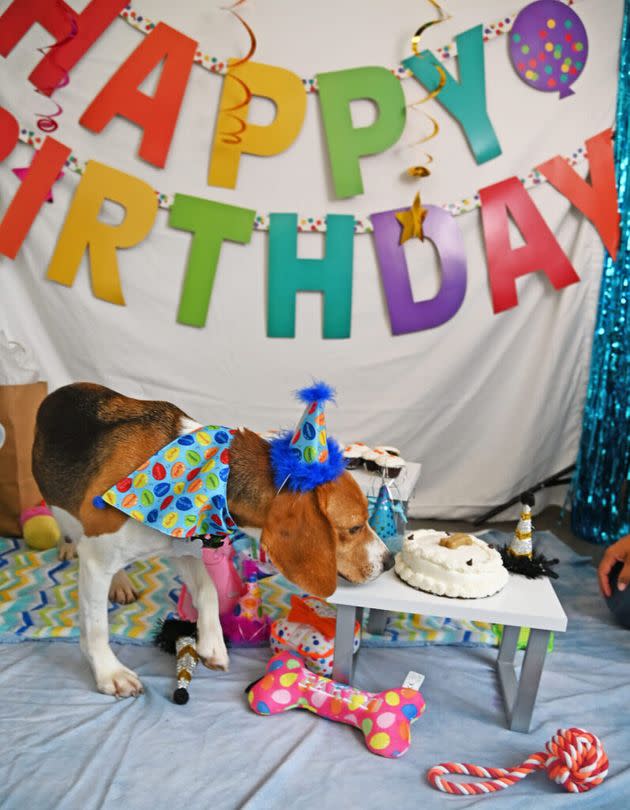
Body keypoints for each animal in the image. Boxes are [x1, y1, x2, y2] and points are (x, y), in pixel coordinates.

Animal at [33, 384, 396, 696]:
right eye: (354, 528)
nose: (389, 561)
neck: (209, 475)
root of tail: (62, 390)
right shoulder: (96, 561)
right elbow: (96, 627)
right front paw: (110, 673)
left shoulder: (182, 547)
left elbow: (207, 591)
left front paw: (212, 644)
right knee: (70, 529)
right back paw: (72, 547)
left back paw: (120, 581)